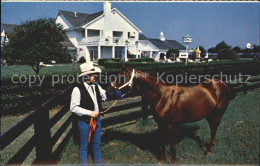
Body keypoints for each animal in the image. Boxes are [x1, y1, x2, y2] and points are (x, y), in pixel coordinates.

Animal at [105, 64, 234, 163]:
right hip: (209, 115)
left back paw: (208, 151)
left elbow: (172, 145)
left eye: (121, 78)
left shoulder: (172, 126)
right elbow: (162, 141)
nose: (107, 91)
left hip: (217, 115)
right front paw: (161, 159)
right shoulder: (161, 124)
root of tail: (222, 83)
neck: (162, 96)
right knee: (212, 129)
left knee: (214, 130)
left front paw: (174, 161)